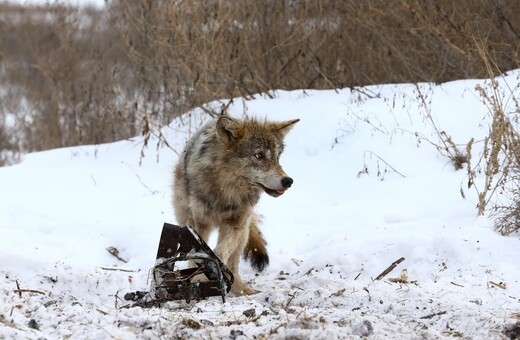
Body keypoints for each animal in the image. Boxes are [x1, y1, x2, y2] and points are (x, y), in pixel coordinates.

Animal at [173, 115, 298, 294]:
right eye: (259, 155)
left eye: (277, 157)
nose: (288, 181)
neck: (226, 191)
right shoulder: (200, 224)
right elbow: (199, 254)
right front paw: (198, 276)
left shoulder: (235, 224)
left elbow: (221, 251)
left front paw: (209, 271)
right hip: (186, 218)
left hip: (243, 232)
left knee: (233, 263)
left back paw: (242, 290)